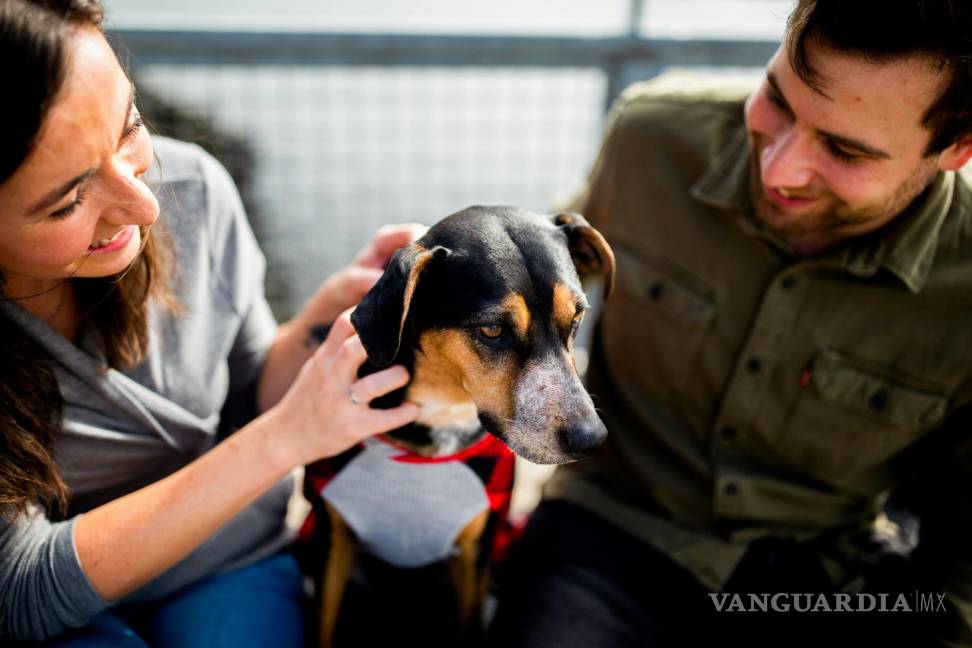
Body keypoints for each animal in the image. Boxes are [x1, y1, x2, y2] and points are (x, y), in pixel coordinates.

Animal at [300, 208, 616, 648]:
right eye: (492, 329)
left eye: (577, 318)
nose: (591, 438)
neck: (443, 415)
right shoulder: (331, 540)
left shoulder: (477, 552)